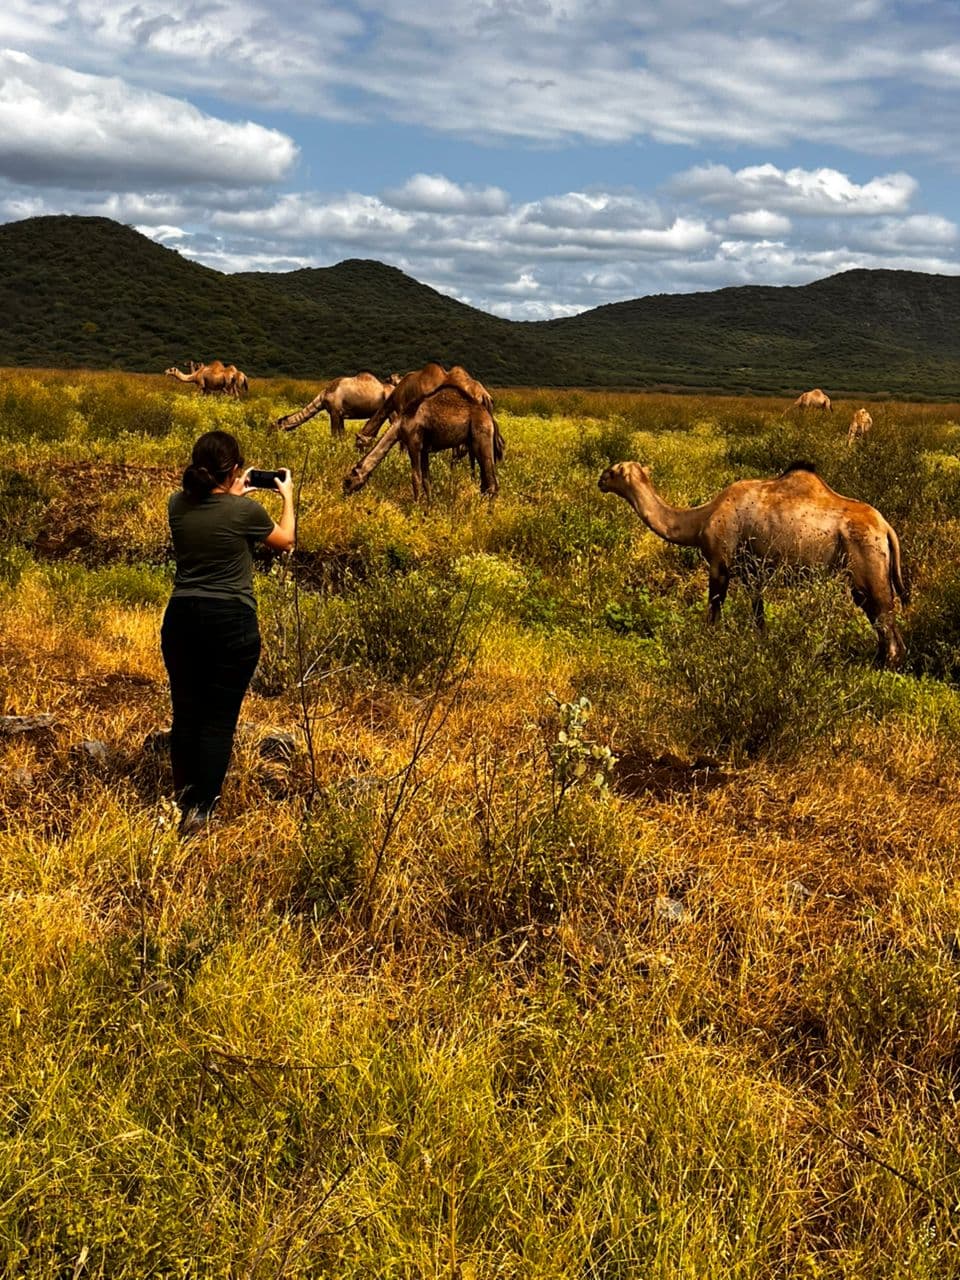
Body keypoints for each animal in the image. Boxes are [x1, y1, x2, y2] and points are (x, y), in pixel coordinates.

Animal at [343, 386, 503, 501]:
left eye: (348, 481)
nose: (344, 494)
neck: (400, 425)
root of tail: (490, 419)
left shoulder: (413, 444)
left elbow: (416, 478)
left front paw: (415, 508)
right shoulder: (424, 450)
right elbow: (427, 480)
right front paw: (429, 509)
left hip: (482, 436)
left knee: (492, 484)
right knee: (485, 482)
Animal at [598, 460, 908, 668]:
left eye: (614, 470)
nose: (600, 480)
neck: (701, 520)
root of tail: (886, 528)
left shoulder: (720, 560)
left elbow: (715, 605)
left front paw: (708, 644)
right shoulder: (752, 571)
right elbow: (758, 611)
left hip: (867, 562)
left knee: (883, 615)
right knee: (880, 617)